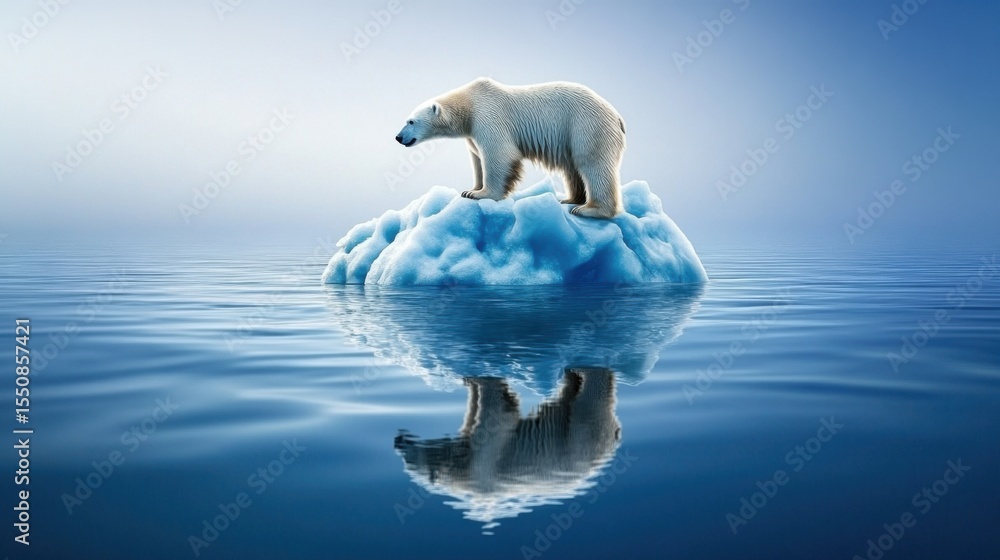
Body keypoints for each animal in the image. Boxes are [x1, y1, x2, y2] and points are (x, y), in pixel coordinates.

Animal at [394, 78, 627, 219]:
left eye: (411, 121)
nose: (398, 137)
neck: (469, 105)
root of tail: (616, 115)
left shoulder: (488, 115)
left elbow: (499, 155)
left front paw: (481, 194)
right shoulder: (472, 132)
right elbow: (477, 159)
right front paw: (471, 189)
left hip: (586, 125)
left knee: (592, 162)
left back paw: (590, 209)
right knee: (572, 168)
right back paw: (570, 199)